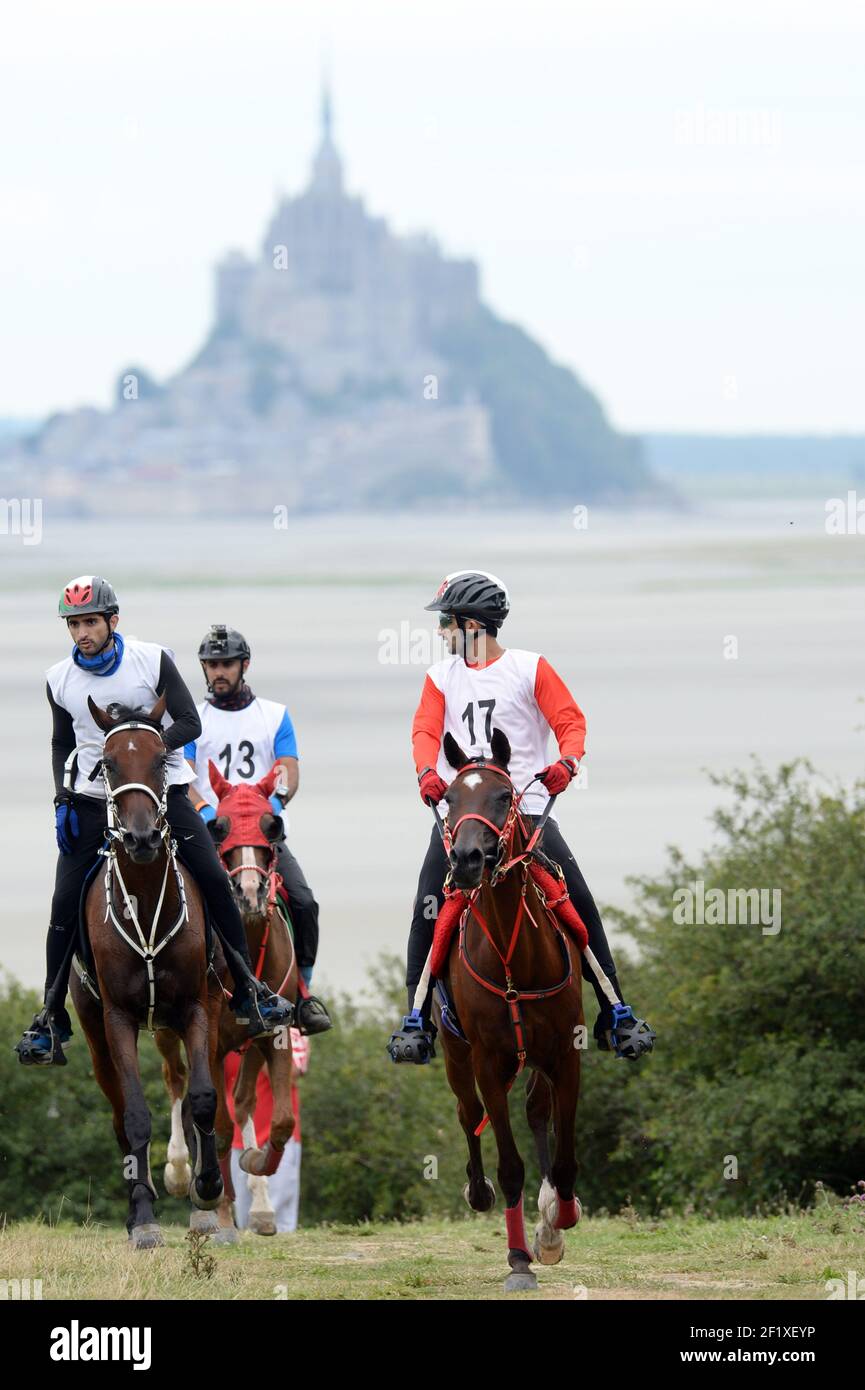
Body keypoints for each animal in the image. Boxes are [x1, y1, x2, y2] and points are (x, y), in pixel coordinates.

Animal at [70, 695, 223, 1251]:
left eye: (160, 760)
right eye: (108, 764)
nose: (140, 838)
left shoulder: (199, 1007)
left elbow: (203, 1099)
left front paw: (205, 1192)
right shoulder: (116, 1018)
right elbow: (135, 1114)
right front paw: (144, 1219)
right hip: (95, 1034)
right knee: (118, 1112)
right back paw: (141, 1203)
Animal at [162, 767, 297, 1245]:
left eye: (272, 826)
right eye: (217, 827)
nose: (250, 892)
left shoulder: (275, 1035)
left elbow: (280, 1120)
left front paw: (256, 1164)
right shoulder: (214, 1045)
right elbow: (217, 1128)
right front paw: (217, 1215)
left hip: (249, 1045)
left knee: (241, 1102)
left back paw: (257, 1203)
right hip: (165, 1031)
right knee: (176, 1083)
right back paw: (180, 1175)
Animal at [431, 728, 584, 1289]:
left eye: (502, 796)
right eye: (449, 799)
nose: (467, 859)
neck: (513, 956)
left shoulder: (566, 1056)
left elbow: (563, 1160)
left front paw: (557, 1221)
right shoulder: (488, 1063)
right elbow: (510, 1163)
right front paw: (519, 1260)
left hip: (536, 1057)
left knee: (537, 1112)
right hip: (457, 1057)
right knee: (467, 1112)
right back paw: (478, 1191)